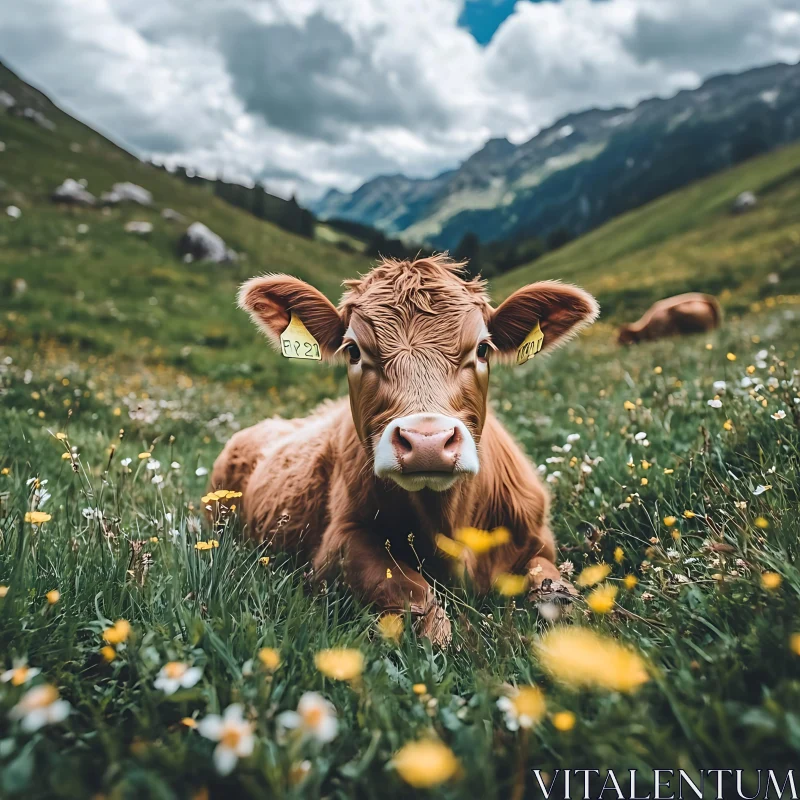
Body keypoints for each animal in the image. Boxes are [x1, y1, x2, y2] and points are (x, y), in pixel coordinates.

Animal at [212, 260, 600, 648]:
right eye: (354, 351)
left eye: (482, 349)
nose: (427, 443)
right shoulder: (337, 543)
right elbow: (416, 598)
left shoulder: (536, 538)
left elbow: (562, 596)